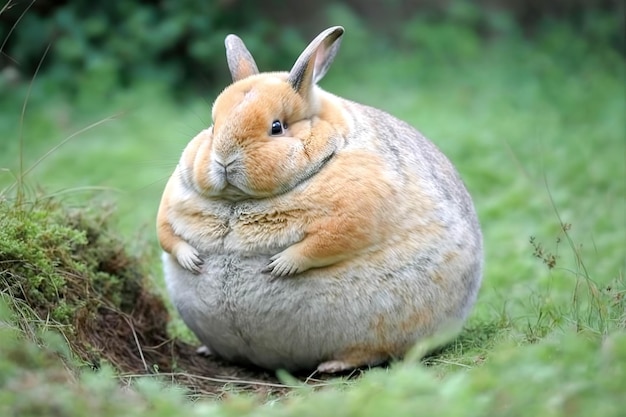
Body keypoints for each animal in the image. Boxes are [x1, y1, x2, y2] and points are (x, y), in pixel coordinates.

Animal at [156, 24, 482, 372]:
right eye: (212, 125)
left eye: (277, 127)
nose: (224, 160)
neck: (237, 201)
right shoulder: (169, 205)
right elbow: (167, 236)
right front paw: (191, 259)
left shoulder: (355, 214)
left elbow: (324, 243)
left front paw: (281, 266)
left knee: (375, 353)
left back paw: (333, 365)